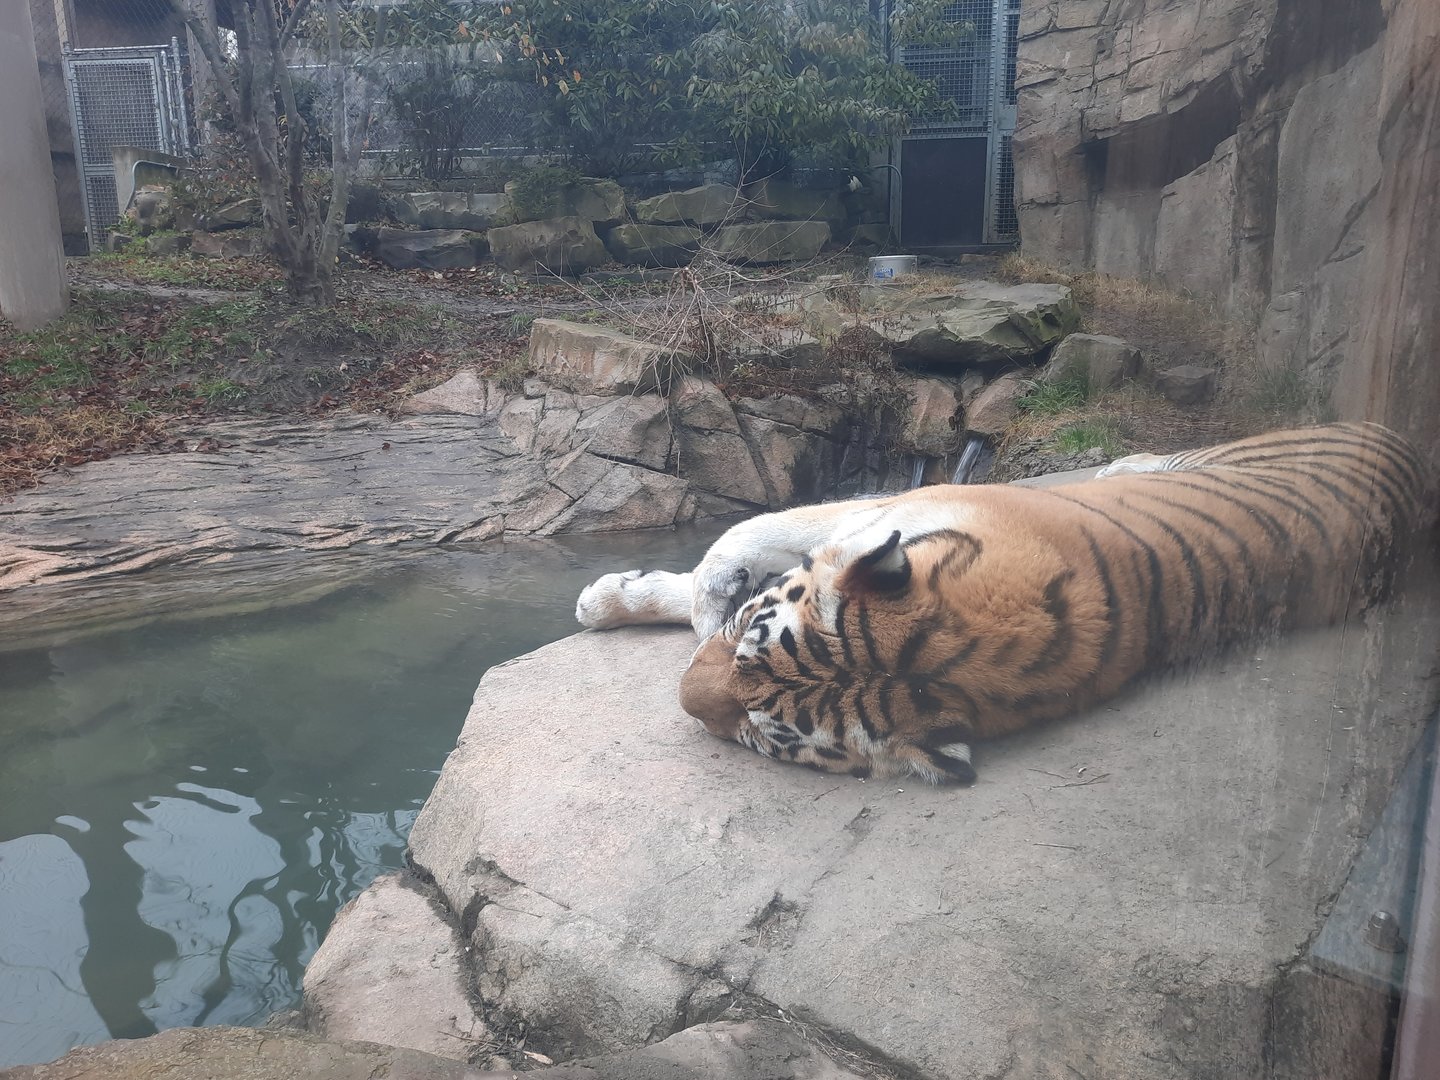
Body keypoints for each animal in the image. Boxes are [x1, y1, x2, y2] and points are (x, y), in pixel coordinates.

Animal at [574, 422, 1431, 784]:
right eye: (756, 631)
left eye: (765, 734)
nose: (684, 701)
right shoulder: (891, 505)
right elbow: (740, 544)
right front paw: (615, 597)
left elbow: (739, 546)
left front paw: (658, 601)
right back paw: (1117, 464)